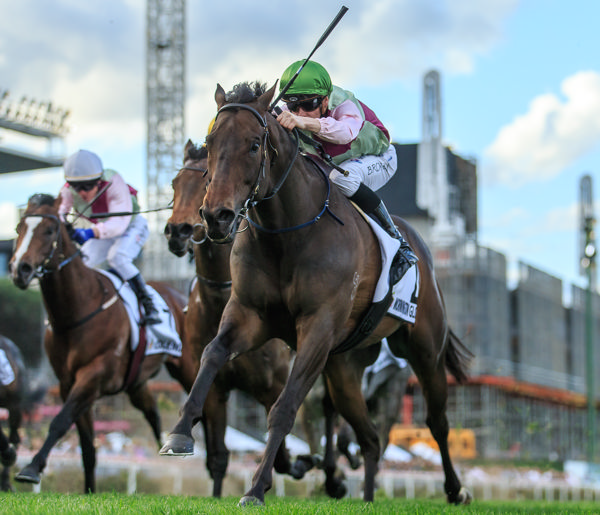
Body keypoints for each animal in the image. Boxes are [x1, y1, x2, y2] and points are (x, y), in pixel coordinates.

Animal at [8, 195, 197, 496]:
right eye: (19, 228)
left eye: (48, 231)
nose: (19, 269)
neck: (76, 311)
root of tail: (180, 295)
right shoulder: (69, 383)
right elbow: (87, 447)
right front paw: (88, 490)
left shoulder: (93, 375)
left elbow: (59, 421)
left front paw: (31, 468)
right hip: (136, 383)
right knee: (152, 412)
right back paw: (166, 446)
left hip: (187, 367)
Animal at [161, 141, 318, 496]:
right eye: (175, 184)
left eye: (204, 182)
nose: (178, 231)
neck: (218, 303)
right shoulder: (216, 390)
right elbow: (219, 456)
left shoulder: (272, 385)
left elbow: (283, 449)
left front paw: (298, 465)